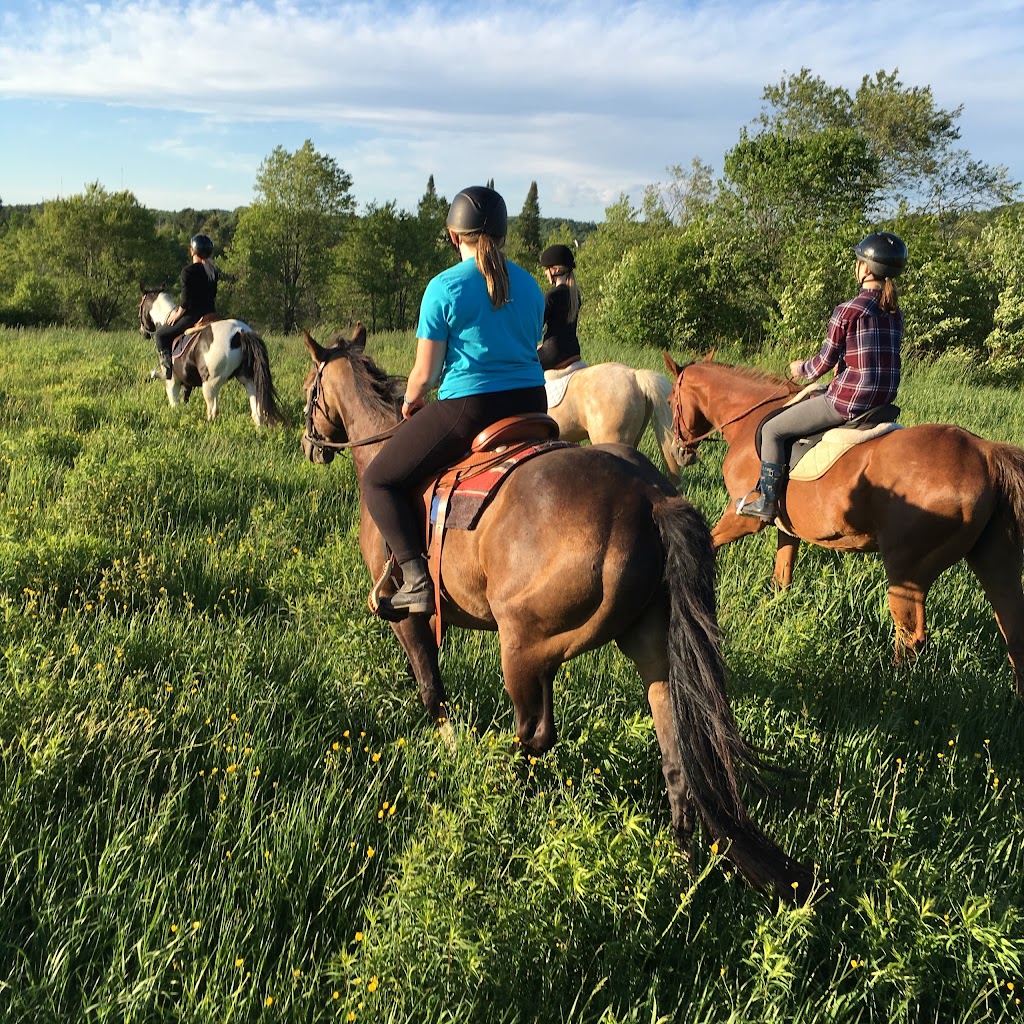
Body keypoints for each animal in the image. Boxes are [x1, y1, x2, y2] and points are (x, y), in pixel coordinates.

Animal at [138, 288, 284, 428]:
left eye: (140, 306)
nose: (143, 332)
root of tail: (240, 332)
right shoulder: (187, 384)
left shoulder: (172, 381)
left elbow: (175, 404)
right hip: (249, 380)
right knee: (257, 412)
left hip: (210, 384)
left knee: (213, 411)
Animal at [663, 352, 1024, 696]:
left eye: (670, 402)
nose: (680, 452)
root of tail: (986, 453)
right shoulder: (785, 529)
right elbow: (782, 579)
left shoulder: (742, 517)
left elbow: (708, 543)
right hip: (995, 560)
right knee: (1012, 631)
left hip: (907, 570)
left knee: (910, 637)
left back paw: (892, 693)